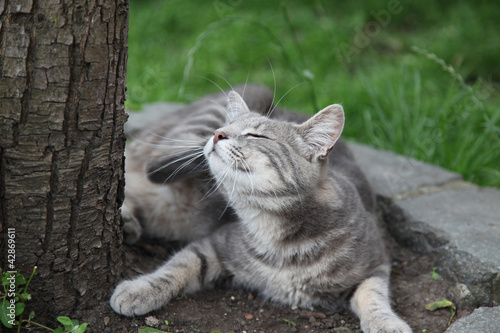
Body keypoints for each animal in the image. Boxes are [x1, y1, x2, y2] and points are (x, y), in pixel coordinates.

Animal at [111, 86, 412, 332]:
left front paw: (385, 323)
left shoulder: (376, 261)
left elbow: (373, 296)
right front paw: (139, 290)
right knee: (155, 166)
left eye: (256, 135)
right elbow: (177, 267)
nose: (217, 133)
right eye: (227, 125)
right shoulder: (215, 244)